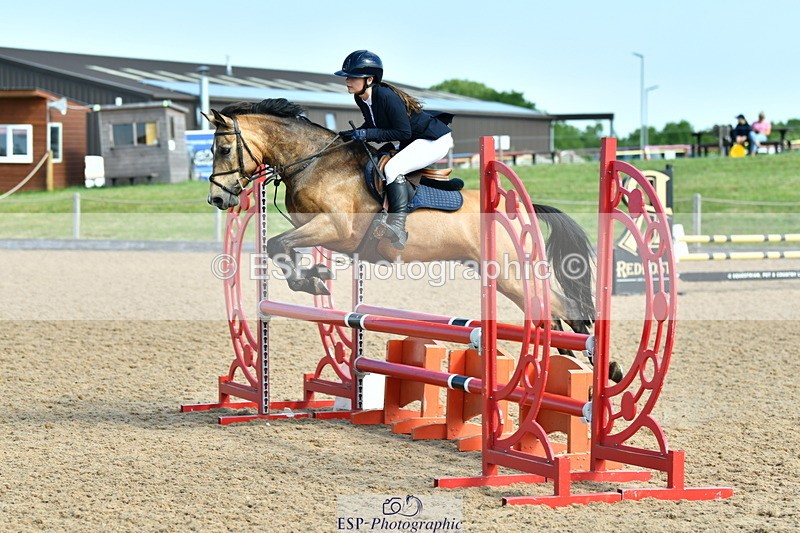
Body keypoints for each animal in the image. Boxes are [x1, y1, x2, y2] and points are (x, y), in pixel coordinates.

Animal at [205, 98, 621, 382]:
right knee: (553, 312)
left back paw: (605, 367)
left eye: (223, 149)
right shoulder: (321, 232)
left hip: (508, 274)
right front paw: (313, 276)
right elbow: (281, 247)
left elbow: (277, 244)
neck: (314, 161)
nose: (218, 200)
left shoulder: (337, 229)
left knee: (561, 308)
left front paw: (311, 279)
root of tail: (519, 207)